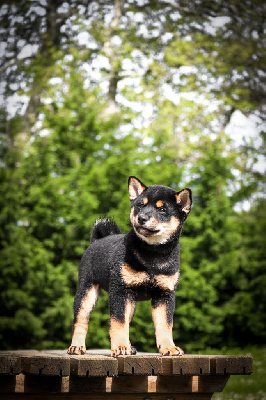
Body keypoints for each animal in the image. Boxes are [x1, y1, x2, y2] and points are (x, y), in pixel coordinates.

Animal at [67, 177, 192, 358]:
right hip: (87, 292)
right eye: (140, 205)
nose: (142, 218)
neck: (152, 254)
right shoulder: (119, 290)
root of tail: (96, 241)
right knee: (81, 321)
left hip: (130, 302)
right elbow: (118, 322)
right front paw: (120, 347)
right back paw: (77, 346)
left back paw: (130, 346)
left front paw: (169, 347)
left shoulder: (165, 294)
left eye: (162, 209)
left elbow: (165, 325)